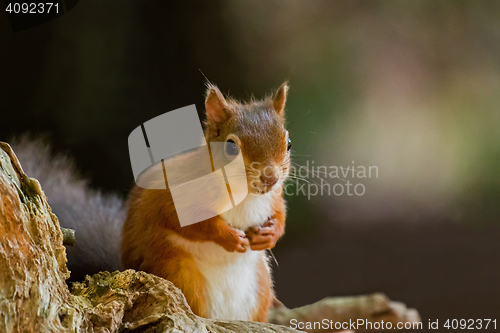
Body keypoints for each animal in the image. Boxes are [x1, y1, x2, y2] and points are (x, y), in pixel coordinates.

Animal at [121, 81, 292, 320]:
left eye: (289, 144)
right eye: (231, 147)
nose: (270, 178)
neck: (244, 196)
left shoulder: (272, 198)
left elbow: (280, 215)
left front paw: (269, 234)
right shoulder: (175, 197)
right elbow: (187, 222)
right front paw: (230, 237)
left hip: (261, 285)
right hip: (179, 273)